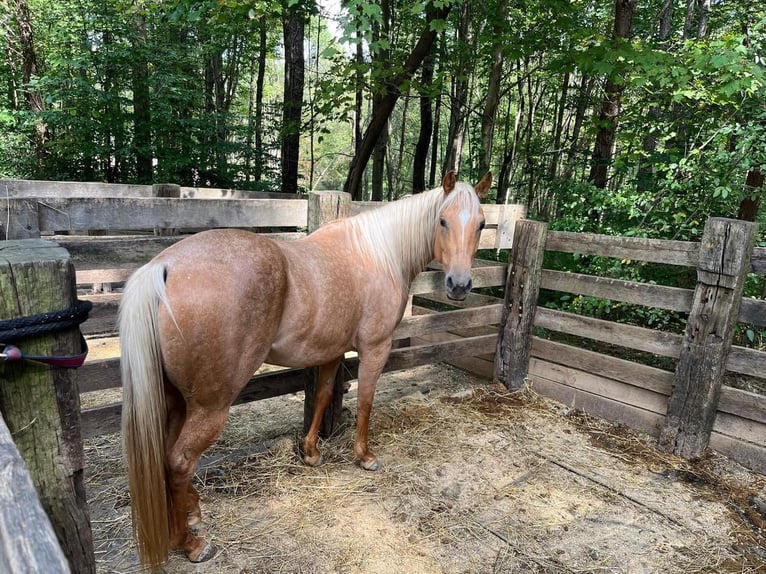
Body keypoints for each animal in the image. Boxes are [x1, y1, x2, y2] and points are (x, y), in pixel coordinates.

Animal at [120, 169, 492, 568]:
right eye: (443, 221)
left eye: (482, 223)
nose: (459, 285)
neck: (378, 254)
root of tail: (163, 267)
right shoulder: (375, 348)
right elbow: (365, 400)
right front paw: (365, 457)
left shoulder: (332, 351)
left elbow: (324, 395)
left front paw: (311, 452)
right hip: (209, 406)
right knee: (180, 461)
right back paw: (190, 544)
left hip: (174, 400)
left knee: (164, 458)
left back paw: (189, 516)